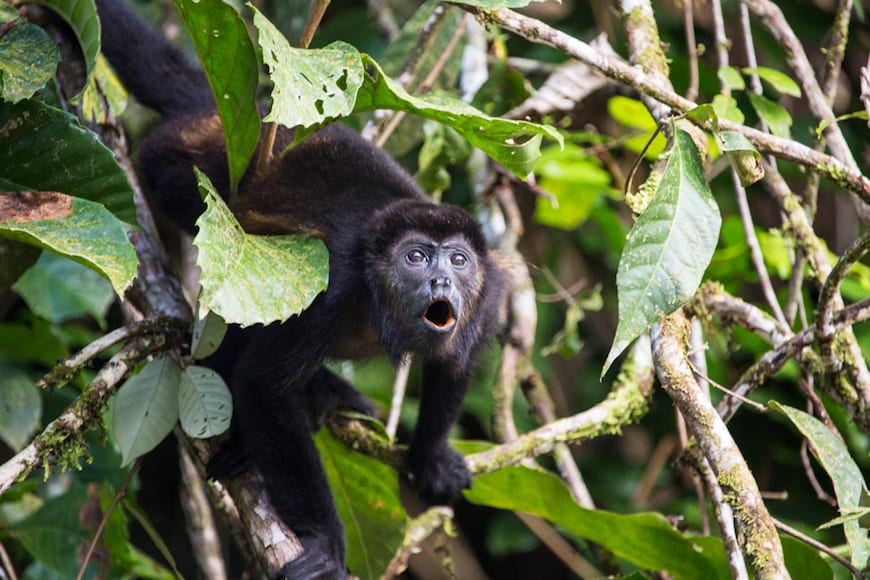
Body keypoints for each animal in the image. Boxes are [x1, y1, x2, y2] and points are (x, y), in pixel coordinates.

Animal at [94, 0, 507, 577]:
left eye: (460, 259)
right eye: (417, 256)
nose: (441, 278)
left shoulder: (487, 298)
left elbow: (455, 366)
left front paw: (429, 456)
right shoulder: (331, 287)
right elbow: (263, 386)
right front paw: (326, 544)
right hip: (179, 171)